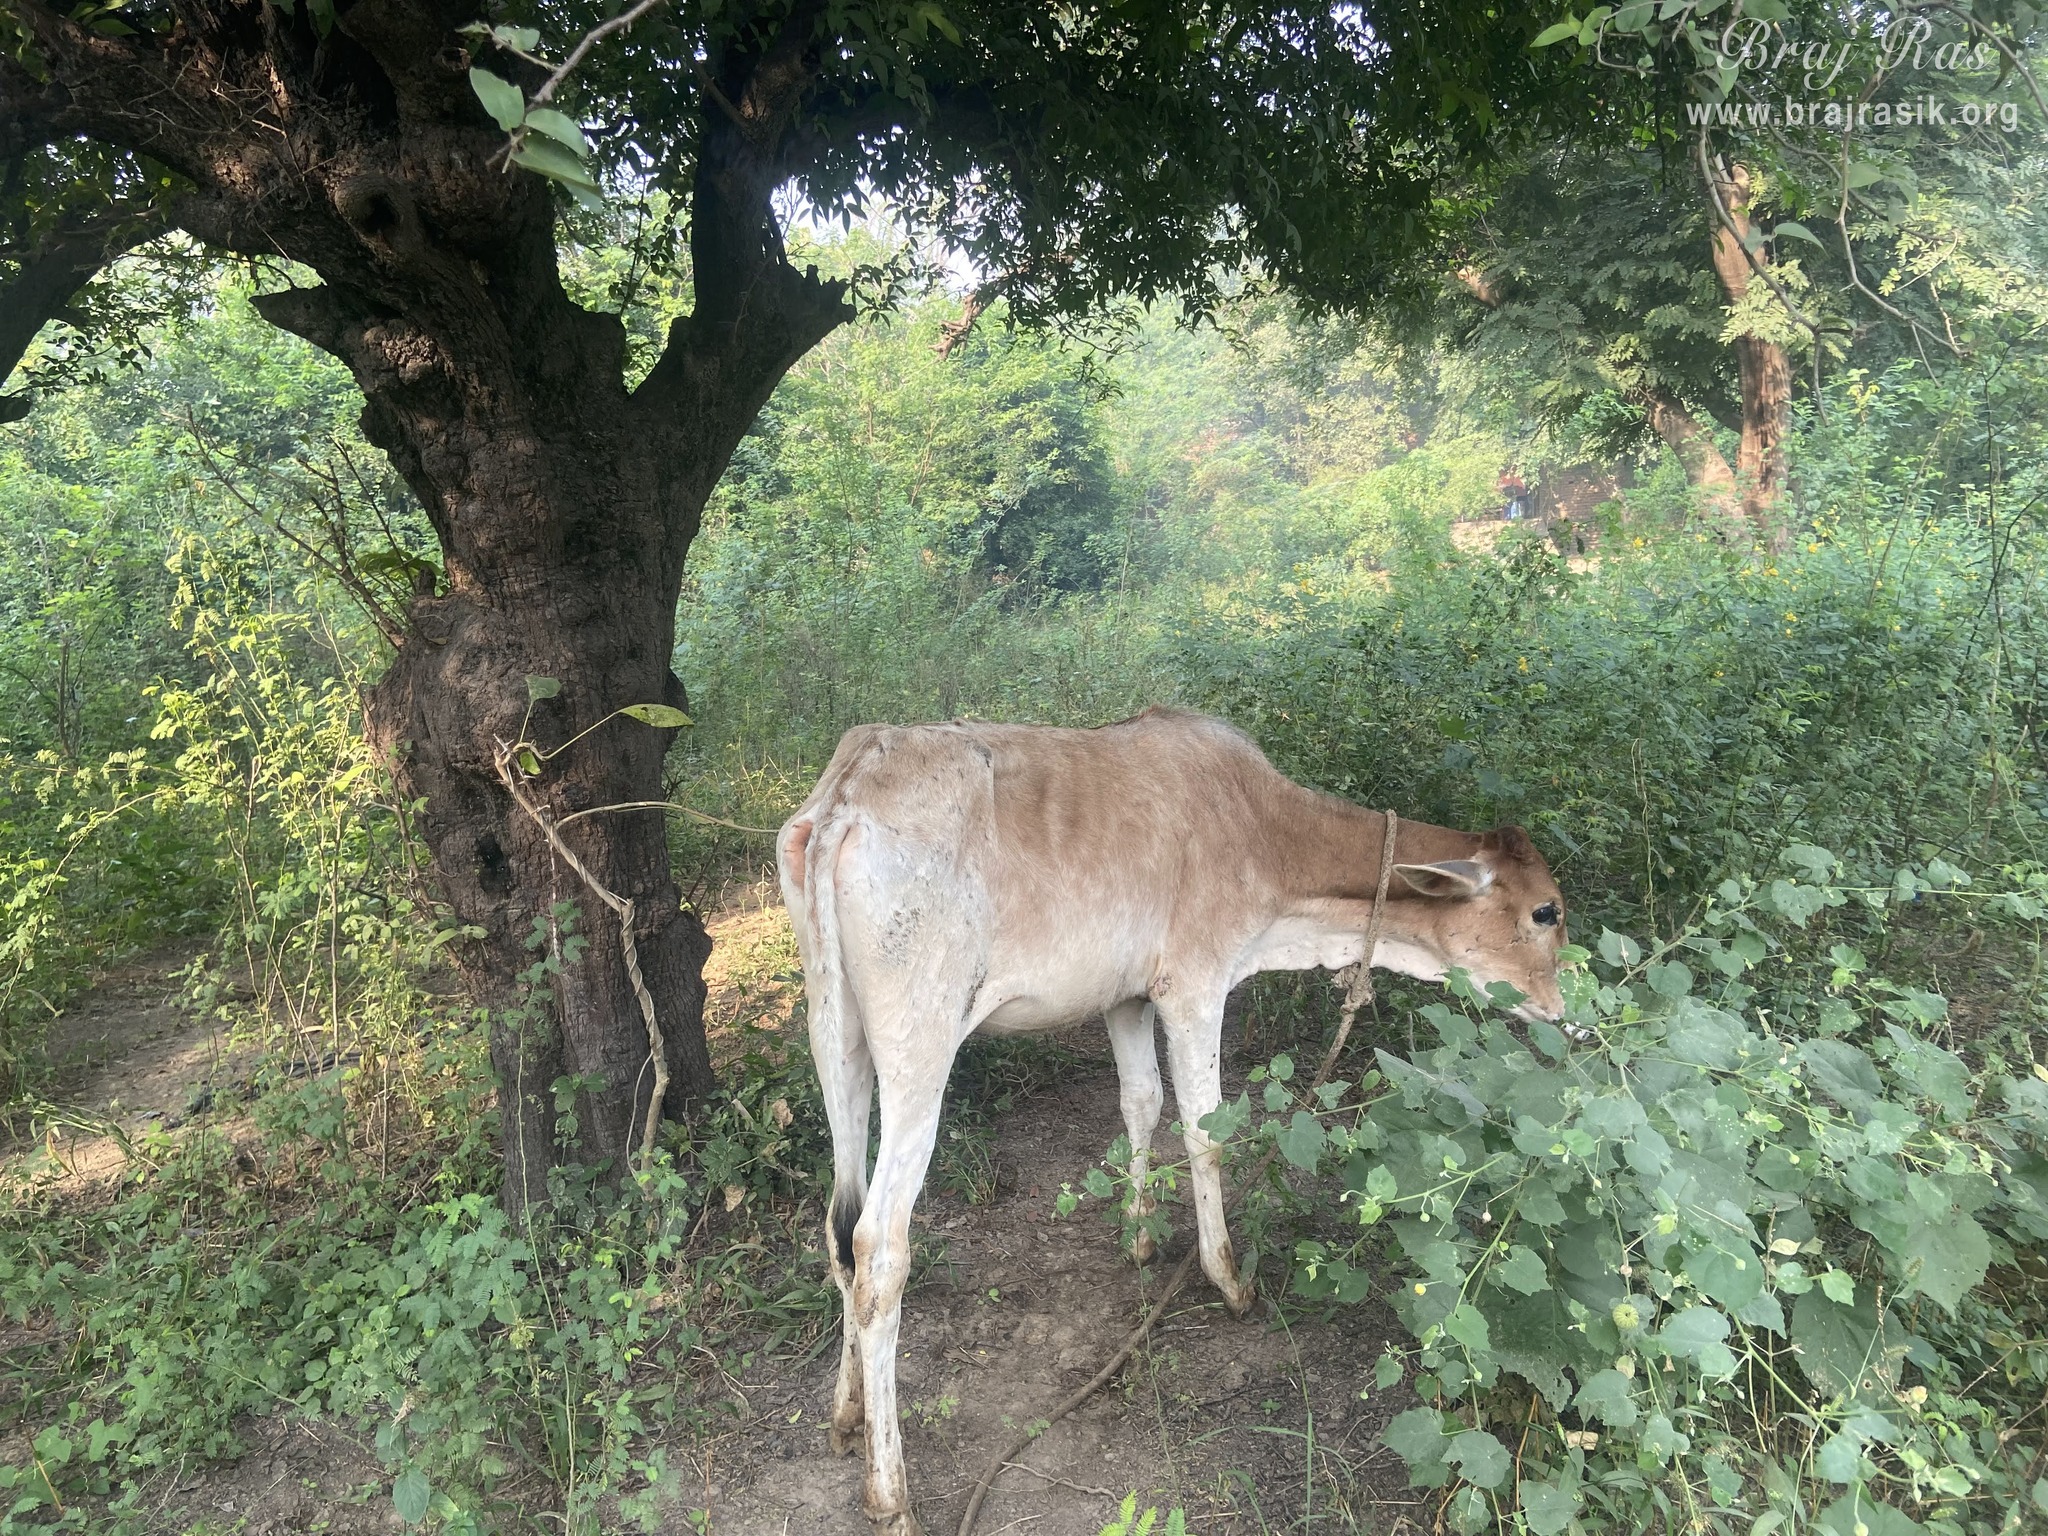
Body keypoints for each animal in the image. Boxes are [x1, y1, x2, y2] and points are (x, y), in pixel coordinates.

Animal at [777, 708, 1569, 1533]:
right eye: (1545, 911)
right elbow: (1204, 1130)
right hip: (921, 1043)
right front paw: (1229, 1279)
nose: (1560, 1008)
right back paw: (889, 1491)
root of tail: (849, 793)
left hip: (836, 1036)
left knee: (839, 1226)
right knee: (878, 1247)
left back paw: (846, 1418)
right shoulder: (1194, 984)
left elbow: (1141, 1102)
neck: (1270, 839)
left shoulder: (1127, 995)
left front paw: (1141, 1237)